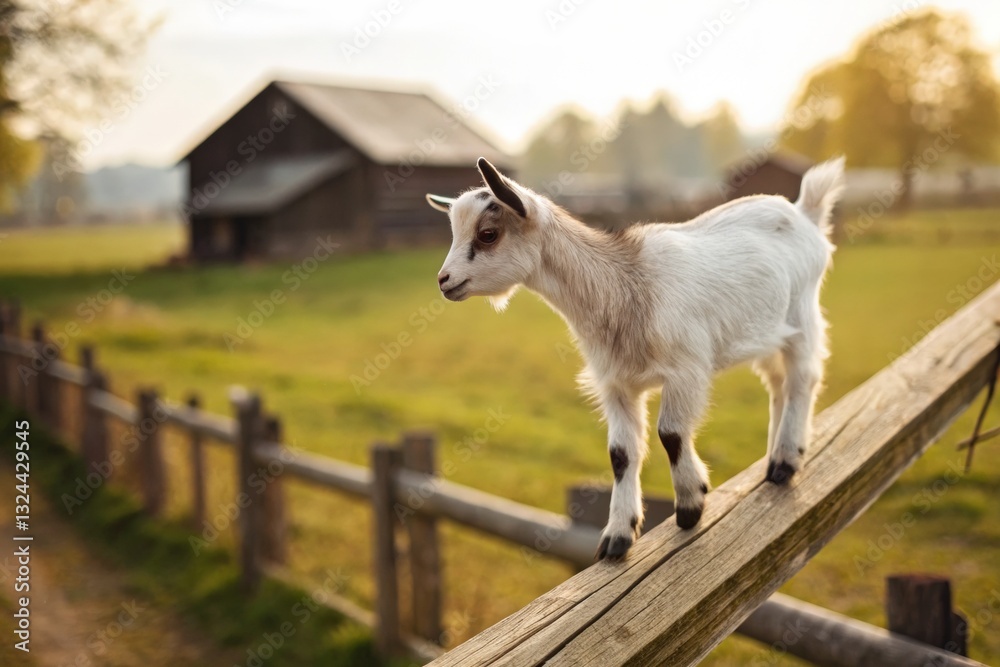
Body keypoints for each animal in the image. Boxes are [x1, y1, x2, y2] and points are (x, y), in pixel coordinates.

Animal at [426, 156, 844, 560]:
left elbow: (671, 434)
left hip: (802, 314)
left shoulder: (686, 370)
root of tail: (804, 212)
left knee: (804, 378)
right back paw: (775, 457)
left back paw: (785, 462)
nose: (444, 281)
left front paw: (690, 505)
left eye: (488, 234)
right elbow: (620, 454)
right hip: (767, 333)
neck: (626, 285)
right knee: (779, 384)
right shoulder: (616, 383)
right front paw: (617, 537)